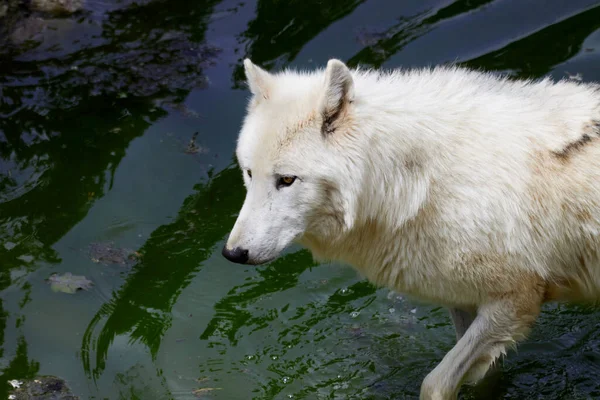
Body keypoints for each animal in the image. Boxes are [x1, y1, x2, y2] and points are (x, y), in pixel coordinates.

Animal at [223, 59, 600, 400]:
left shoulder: (514, 301)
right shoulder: (465, 300)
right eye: (249, 173)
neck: (416, 181)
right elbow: (482, 376)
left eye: (287, 180)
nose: (232, 253)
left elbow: (434, 384)